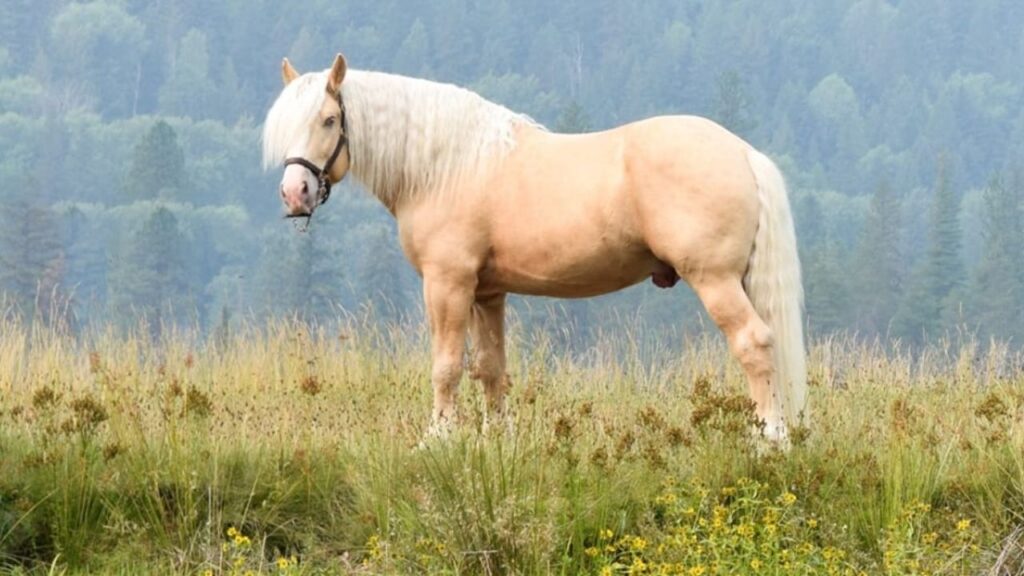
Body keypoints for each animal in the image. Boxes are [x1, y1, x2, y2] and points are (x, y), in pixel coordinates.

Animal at [262, 54, 807, 442]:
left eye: (329, 119)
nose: (294, 193)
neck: (445, 166)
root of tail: (743, 153)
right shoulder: (487, 293)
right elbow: (490, 368)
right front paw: (495, 439)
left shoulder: (447, 283)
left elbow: (446, 366)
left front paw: (437, 438)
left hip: (715, 280)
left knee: (754, 344)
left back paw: (769, 438)